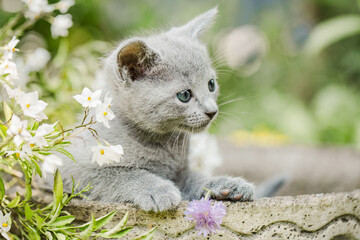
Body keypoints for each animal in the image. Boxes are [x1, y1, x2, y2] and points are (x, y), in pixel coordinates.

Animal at [54, 6, 255, 211]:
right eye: (184, 95)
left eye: (211, 84)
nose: (212, 111)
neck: (161, 145)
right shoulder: (71, 168)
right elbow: (123, 174)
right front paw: (158, 190)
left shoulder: (180, 172)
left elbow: (195, 178)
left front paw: (227, 184)